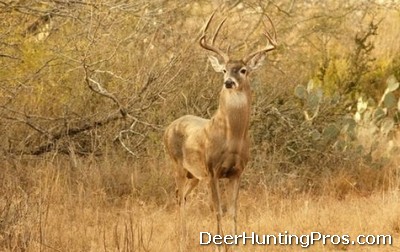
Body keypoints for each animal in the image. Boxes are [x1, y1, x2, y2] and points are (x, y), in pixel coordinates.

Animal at [164, 10, 276, 249]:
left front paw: (235, 243)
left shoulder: (237, 171)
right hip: (177, 164)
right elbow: (217, 210)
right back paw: (182, 239)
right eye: (224, 69)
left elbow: (233, 210)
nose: (229, 82)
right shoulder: (212, 169)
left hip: (194, 174)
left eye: (243, 70)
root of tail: (168, 128)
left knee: (182, 196)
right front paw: (218, 244)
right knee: (179, 196)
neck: (231, 139)